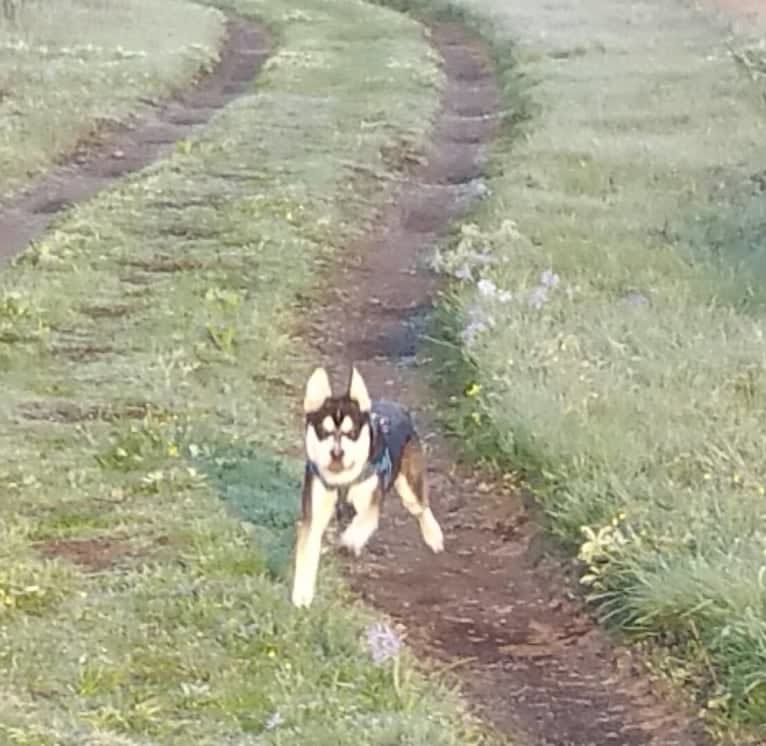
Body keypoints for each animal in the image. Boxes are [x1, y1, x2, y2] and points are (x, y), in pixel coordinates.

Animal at [296, 364, 450, 604]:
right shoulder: (314, 513)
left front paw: (349, 542)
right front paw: (301, 595)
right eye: (324, 432)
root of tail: (395, 405)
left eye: (351, 433)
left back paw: (433, 536)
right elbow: (307, 552)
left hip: (409, 485)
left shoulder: (371, 504)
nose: (337, 453)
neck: (343, 480)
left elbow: (361, 524)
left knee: (421, 507)